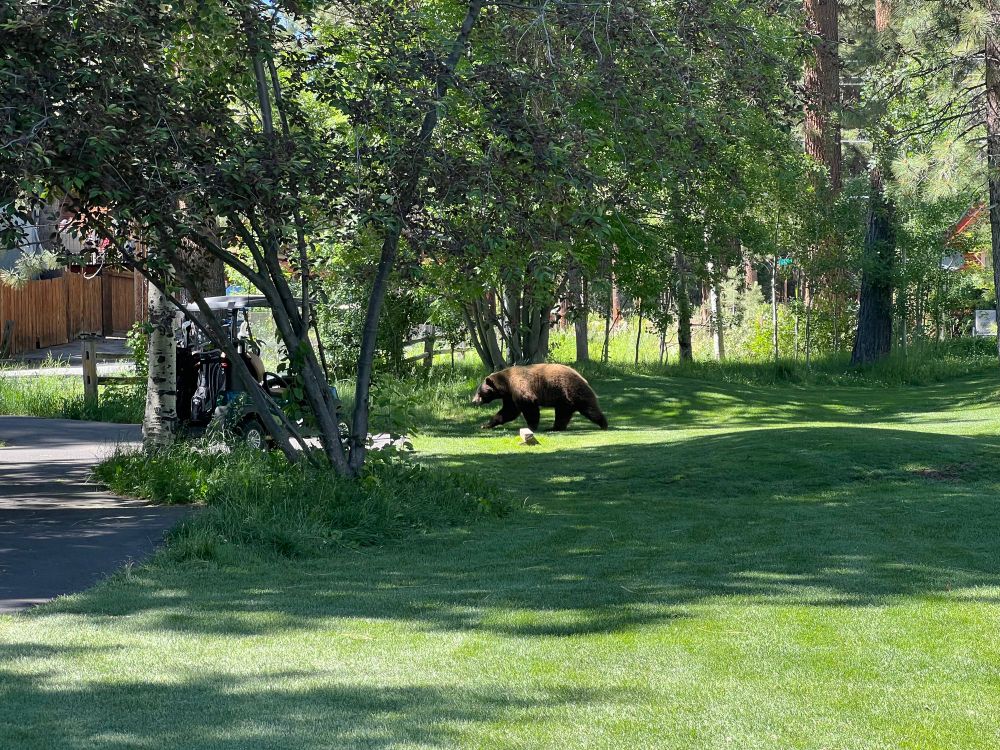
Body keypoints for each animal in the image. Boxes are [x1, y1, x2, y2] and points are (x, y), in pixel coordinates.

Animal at [472, 363, 608, 431]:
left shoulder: (520, 386)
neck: (505, 385)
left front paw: (531, 426)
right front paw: (486, 424)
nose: (473, 401)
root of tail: (583, 378)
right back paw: (554, 427)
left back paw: (603, 423)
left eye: (479, 392)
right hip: (563, 400)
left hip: (572, 390)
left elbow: (528, 405)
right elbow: (508, 411)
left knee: (589, 408)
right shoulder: (510, 396)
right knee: (562, 413)